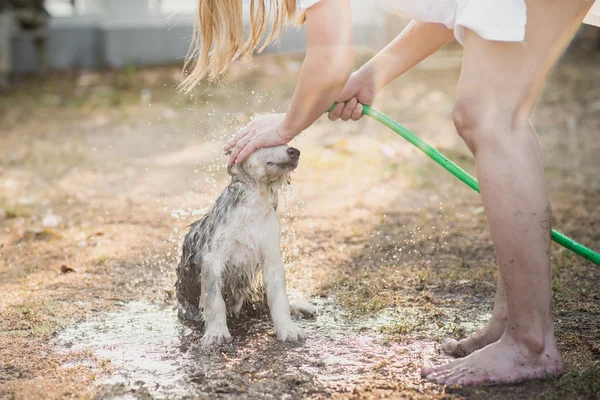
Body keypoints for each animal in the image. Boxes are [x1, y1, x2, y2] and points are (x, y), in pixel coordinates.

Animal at [175, 145, 316, 346]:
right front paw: (217, 333)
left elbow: (279, 298)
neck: (252, 207)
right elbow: (214, 301)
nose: (294, 151)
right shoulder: (212, 261)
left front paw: (288, 329)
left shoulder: (272, 258)